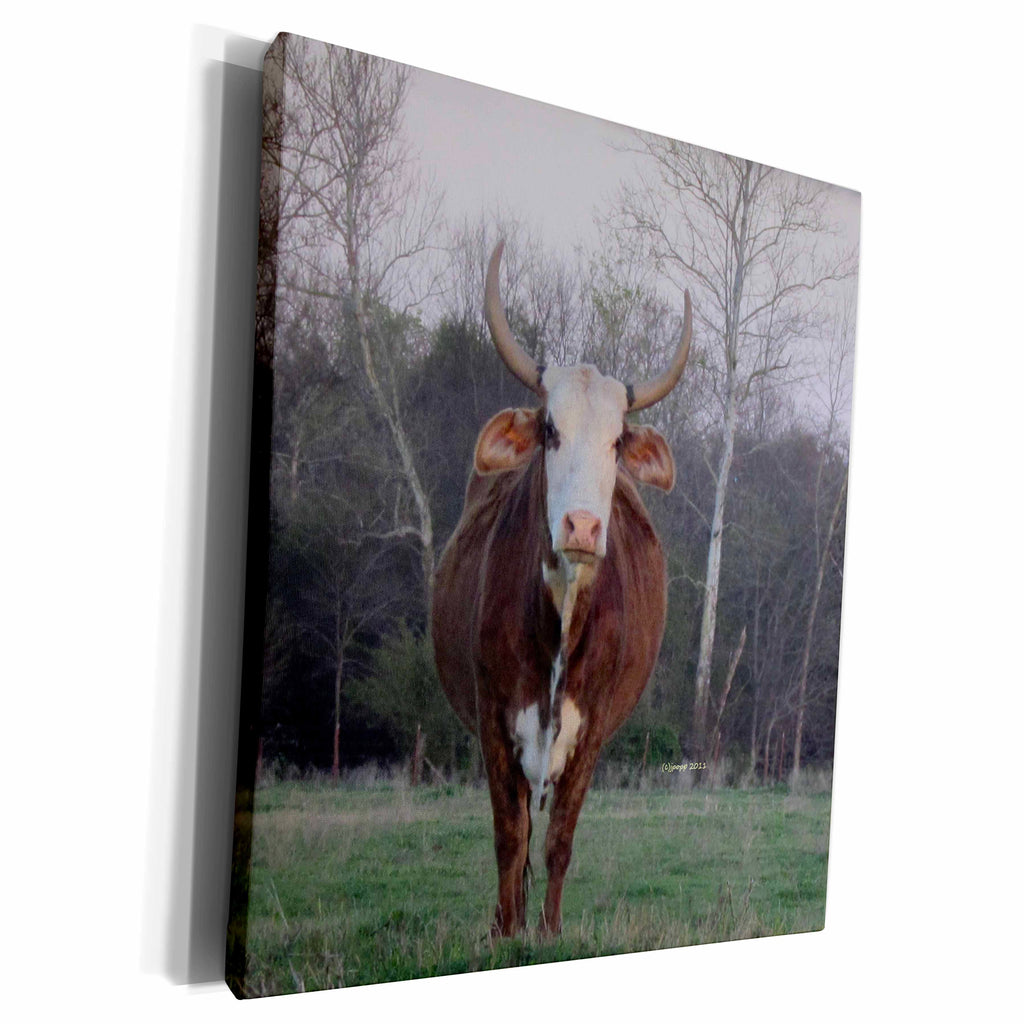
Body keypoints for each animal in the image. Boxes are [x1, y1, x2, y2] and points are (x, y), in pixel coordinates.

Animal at [431, 240, 692, 937]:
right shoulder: (495, 722)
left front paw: (546, 934)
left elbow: (558, 843)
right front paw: (507, 932)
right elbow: (510, 840)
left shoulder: (591, 732)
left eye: (617, 439)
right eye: (550, 428)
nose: (582, 526)